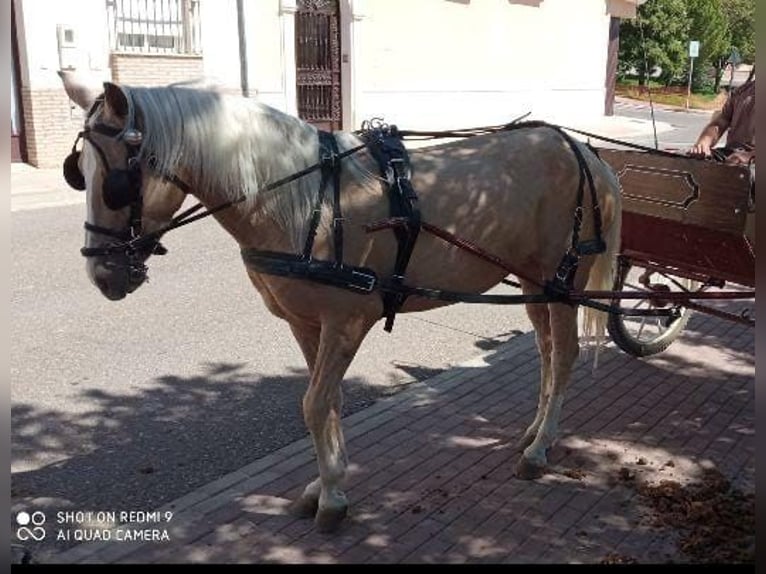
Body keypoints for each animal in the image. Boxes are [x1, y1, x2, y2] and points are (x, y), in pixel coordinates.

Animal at [60, 72, 624, 536]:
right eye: (77, 171)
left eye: (117, 181)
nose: (101, 273)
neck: (309, 202)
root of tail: (582, 150)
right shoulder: (306, 324)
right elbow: (325, 401)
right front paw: (324, 485)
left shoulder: (348, 321)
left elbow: (313, 404)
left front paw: (331, 496)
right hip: (534, 284)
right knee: (546, 354)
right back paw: (534, 430)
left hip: (562, 281)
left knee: (565, 355)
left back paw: (539, 448)